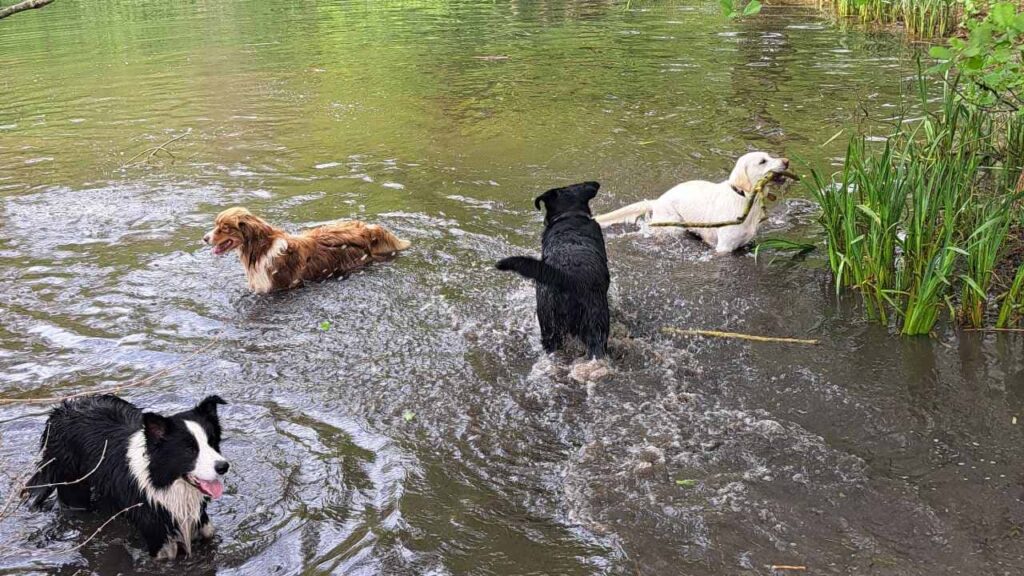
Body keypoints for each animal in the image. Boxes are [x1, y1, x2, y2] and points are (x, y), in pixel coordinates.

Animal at [25, 391, 230, 557]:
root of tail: (59, 411)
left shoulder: (203, 528)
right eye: (190, 449)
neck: (162, 482)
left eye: (212, 442)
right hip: (73, 488)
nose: (223, 466)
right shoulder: (159, 541)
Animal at [593, 151, 798, 252]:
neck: (744, 198)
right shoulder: (724, 248)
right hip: (674, 227)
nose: (787, 161)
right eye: (763, 161)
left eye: (771, 156)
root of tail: (657, 200)